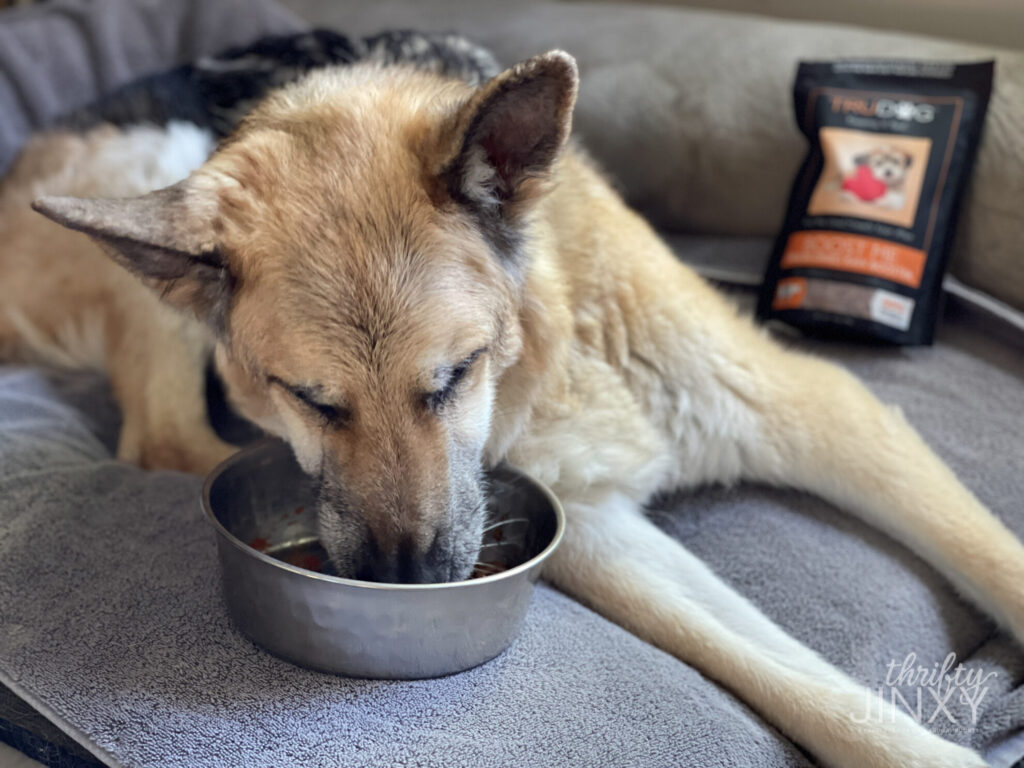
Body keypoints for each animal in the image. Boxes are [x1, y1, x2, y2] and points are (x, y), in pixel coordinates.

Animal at [2, 30, 1024, 768]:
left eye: (455, 375)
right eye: (310, 400)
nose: (407, 586)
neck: (557, 337)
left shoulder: (821, 408)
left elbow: (988, 557)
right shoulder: (601, 532)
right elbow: (790, 681)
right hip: (152, 181)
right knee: (162, 444)